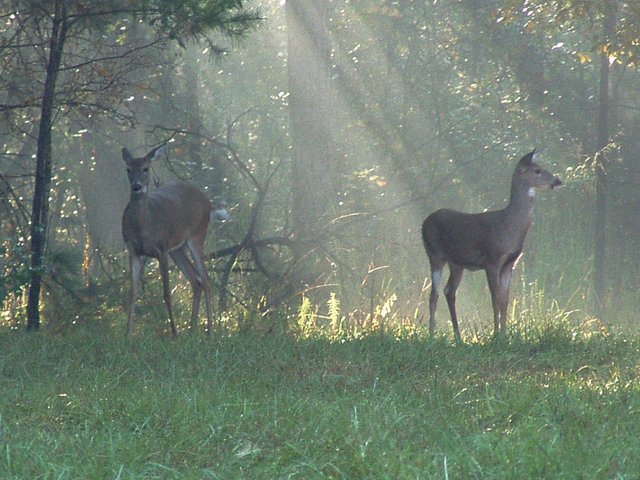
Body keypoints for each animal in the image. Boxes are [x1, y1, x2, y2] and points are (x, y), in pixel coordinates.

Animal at [121, 144, 229, 340]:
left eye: (146, 168)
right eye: (128, 169)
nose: (137, 186)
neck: (144, 226)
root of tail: (209, 203)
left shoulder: (161, 248)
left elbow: (166, 293)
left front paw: (174, 333)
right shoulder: (133, 249)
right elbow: (132, 292)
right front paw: (127, 335)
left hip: (196, 236)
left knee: (206, 279)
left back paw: (209, 334)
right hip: (177, 249)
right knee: (196, 279)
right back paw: (192, 332)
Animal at [422, 150, 564, 342]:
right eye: (537, 170)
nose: (558, 181)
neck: (509, 225)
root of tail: (424, 222)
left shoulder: (509, 263)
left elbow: (504, 300)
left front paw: (504, 336)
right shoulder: (492, 259)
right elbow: (494, 299)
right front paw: (495, 335)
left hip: (457, 264)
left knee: (449, 292)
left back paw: (458, 337)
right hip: (435, 254)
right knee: (433, 294)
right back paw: (431, 335)